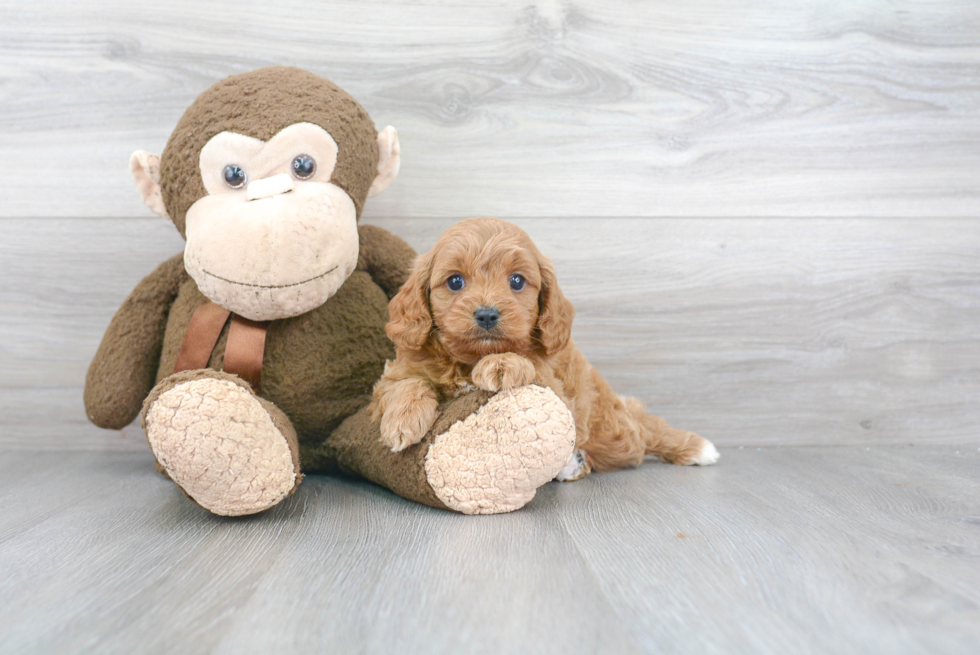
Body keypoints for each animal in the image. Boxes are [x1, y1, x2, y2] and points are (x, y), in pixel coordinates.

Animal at [370, 218, 720, 480]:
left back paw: (693, 448)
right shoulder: (393, 376)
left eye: (516, 281)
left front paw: (502, 363)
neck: (469, 360)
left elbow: (530, 363)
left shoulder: (554, 383)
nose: (487, 314)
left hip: (614, 430)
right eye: (455, 281)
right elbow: (406, 384)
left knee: (644, 431)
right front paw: (402, 422)